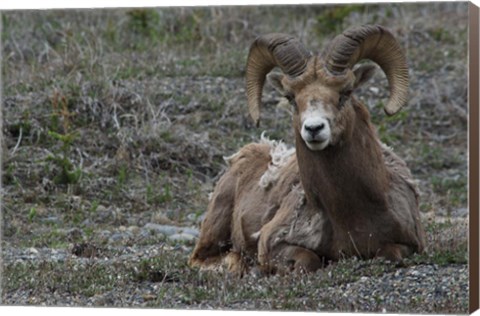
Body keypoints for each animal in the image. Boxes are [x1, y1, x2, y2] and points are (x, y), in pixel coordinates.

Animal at [189, 24, 426, 274]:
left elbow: (389, 254)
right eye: (291, 97)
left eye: (346, 92)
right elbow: (307, 260)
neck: (351, 215)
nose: (313, 129)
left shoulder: (411, 245)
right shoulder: (272, 243)